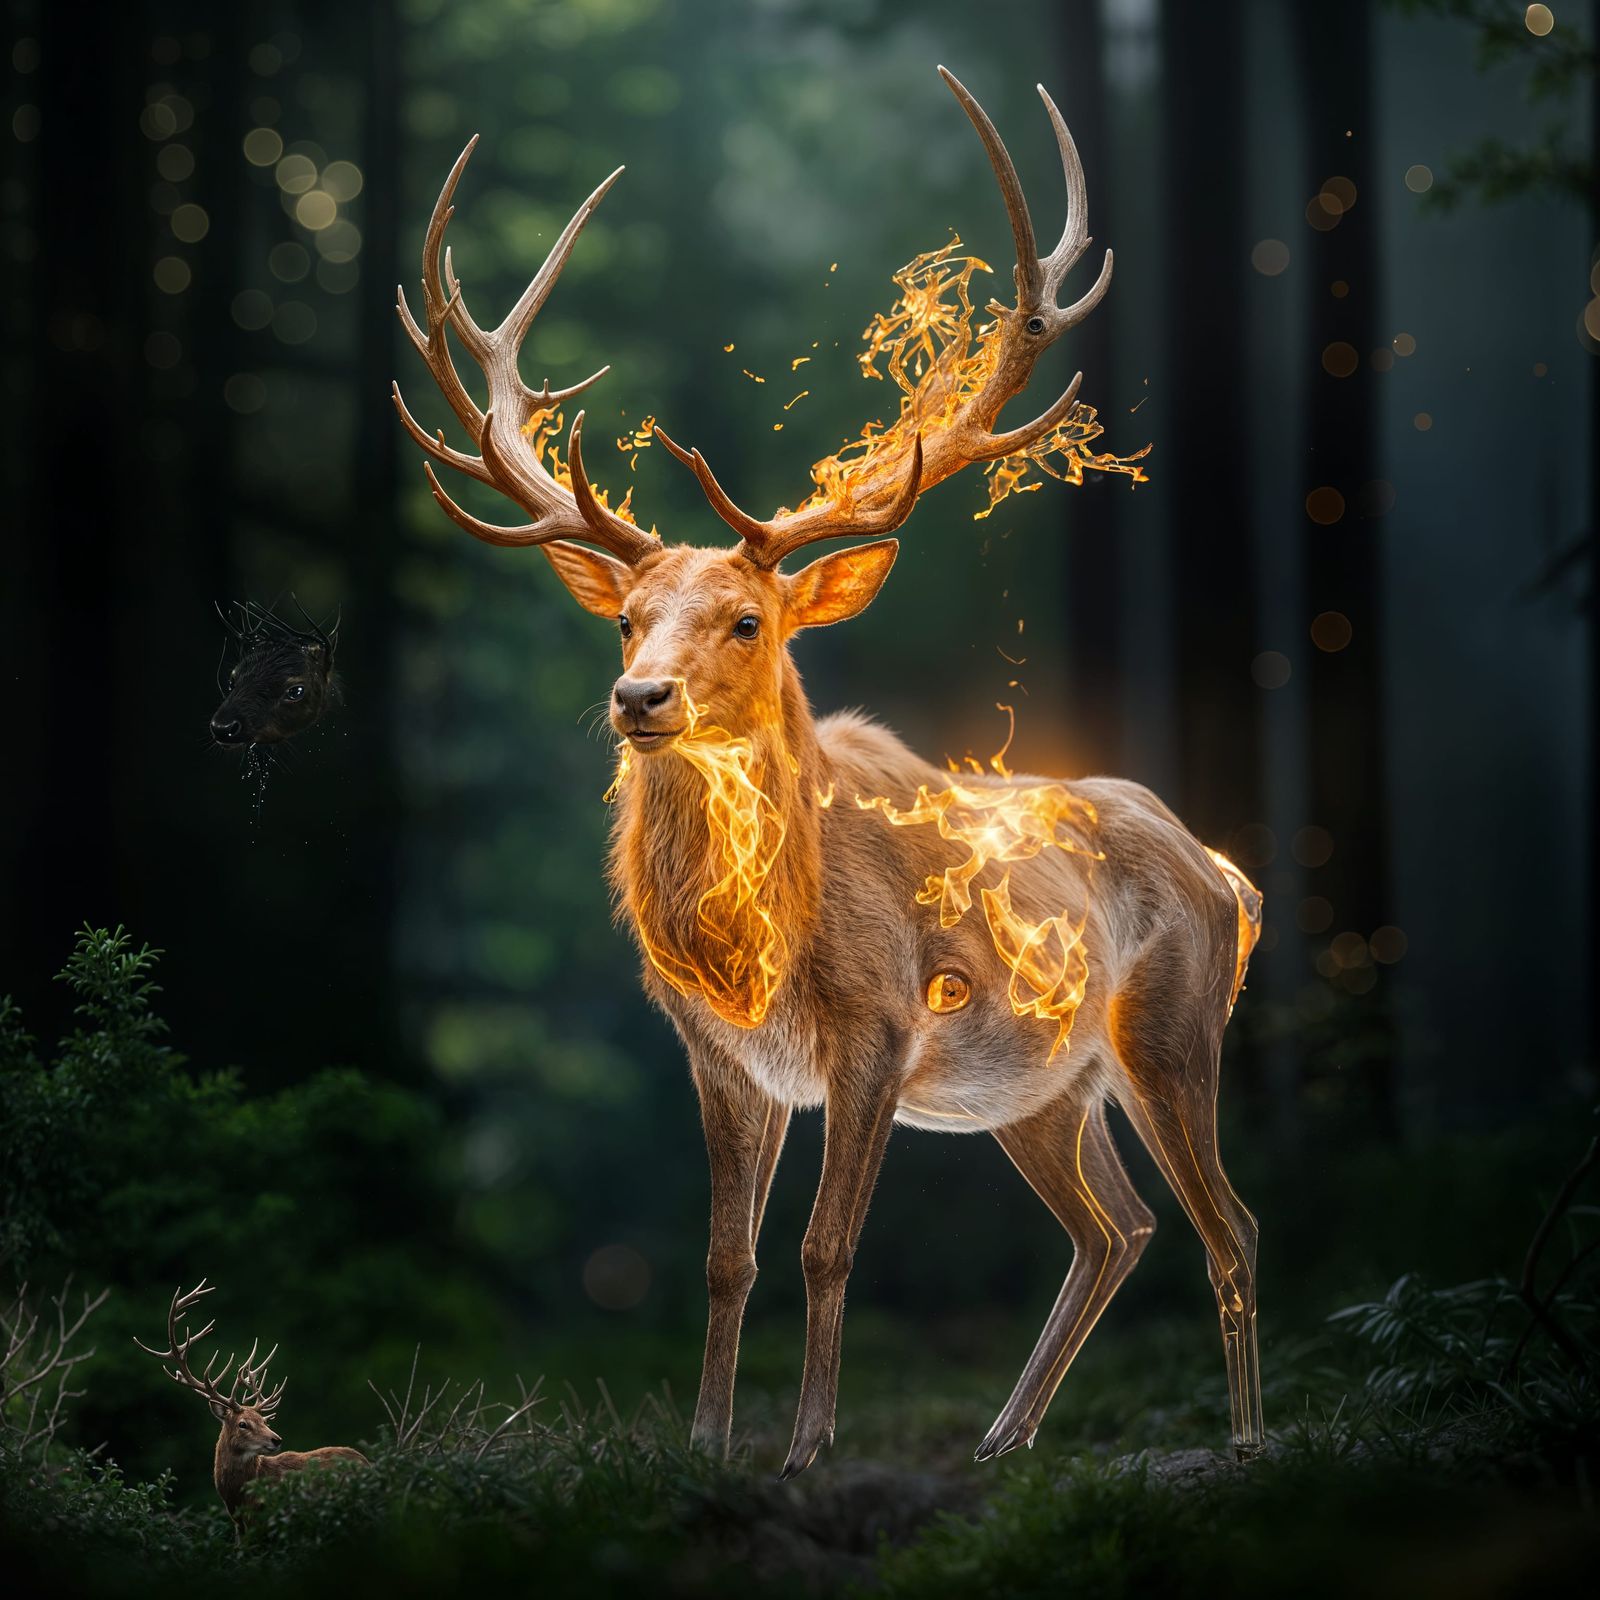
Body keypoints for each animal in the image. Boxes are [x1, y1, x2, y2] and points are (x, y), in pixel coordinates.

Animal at [135, 1281, 368, 1533]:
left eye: (264, 1421)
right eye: (243, 1424)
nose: (276, 1439)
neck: (239, 1499)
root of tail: (369, 1464)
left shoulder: (266, 1522)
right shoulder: (240, 1526)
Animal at [394, 66, 1267, 1477]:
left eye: (747, 618)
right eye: (625, 619)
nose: (640, 698)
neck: (757, 947)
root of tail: (1228, 874)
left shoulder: (880, 1023)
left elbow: (824, 1246)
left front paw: (805, 1450)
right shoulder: (717, 1055)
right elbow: (723, 1258)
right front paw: (702, 1444)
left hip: (1171, 1024)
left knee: (1226, 1221)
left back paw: (1244, 1440)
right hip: (1042, 1086)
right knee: (1115, 1225)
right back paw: (1003, 1436)